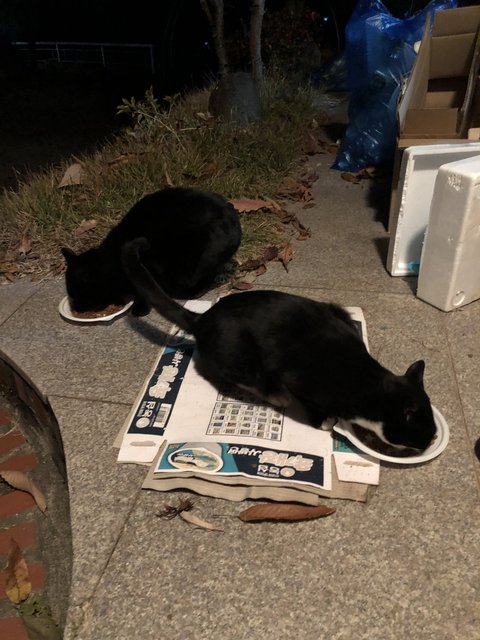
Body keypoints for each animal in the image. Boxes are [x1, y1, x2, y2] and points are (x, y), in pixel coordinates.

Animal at [61, 186, 242, 315]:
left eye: (78, 294)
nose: (76, 307)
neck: (112, 261)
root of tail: (232, 214)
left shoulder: (147, 267)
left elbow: (143, 291)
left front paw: (138, 308)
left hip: (190, 266)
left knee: (198, 285)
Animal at [121, 238, 437, 451]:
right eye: (421, 432)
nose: (431, 440)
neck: (367, 383)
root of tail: (203, 317)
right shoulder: (302, 381)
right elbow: (312, 405)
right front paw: (324, 420)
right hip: (241, 355)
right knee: (243, 378)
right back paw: (276, 396)